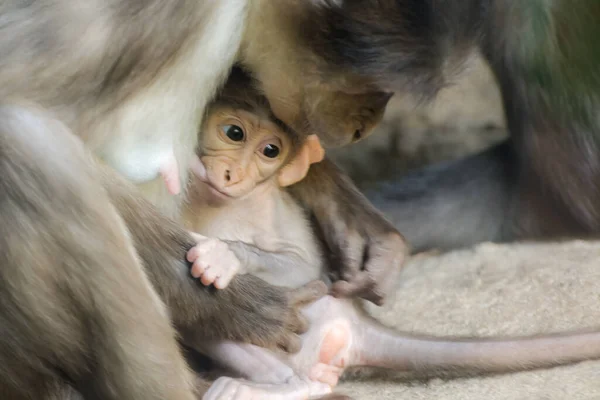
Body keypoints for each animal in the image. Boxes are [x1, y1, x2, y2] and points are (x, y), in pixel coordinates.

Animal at [1, 0, 404, 400]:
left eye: (270, 150)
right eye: (233, 133)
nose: (367, 122)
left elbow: (300, 261)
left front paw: (354, 224)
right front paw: (249, 306)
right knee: (29, 139)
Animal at [183, 69, 600, 400]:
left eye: (270, 150)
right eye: (233, 132)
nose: (231, 174)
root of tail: (354, 318)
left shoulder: (272, 211)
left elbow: (304, 269)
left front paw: (225, 254)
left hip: (307, 327)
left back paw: (290, 385)